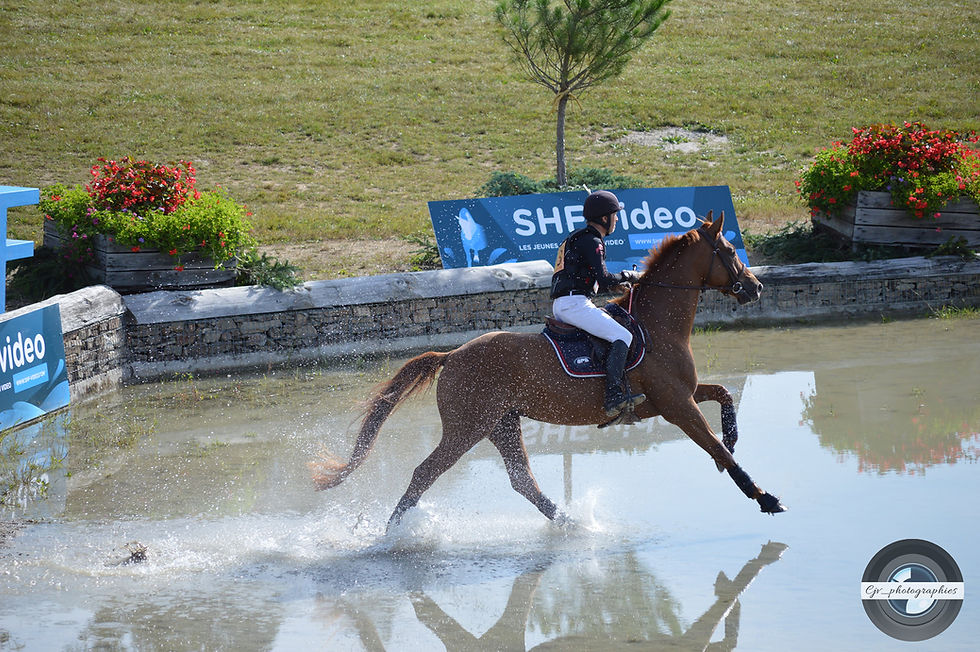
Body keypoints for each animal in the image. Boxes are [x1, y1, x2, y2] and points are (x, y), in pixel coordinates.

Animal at [310, 212, 787, 529]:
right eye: (730, 251)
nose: (755, 287)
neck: (657, 324)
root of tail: (452, 355)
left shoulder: (669, 399)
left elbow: (723, 394)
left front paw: (733, 434)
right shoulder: (676, 404)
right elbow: (716, 449)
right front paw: (763, 497)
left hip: (501, 423)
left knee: (522, 478)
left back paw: (568, 522)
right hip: (468, 427)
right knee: (425, 473)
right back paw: (392, 535)